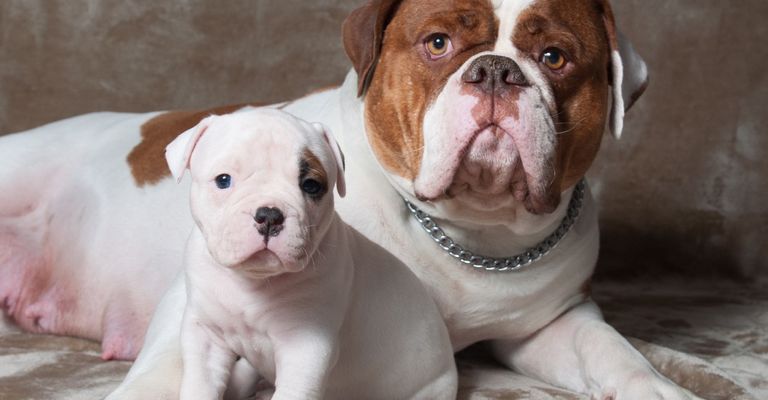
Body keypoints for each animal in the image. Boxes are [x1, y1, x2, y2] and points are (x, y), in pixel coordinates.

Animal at [165, 108, 452, 400]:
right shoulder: (205, 335)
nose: (269, 216)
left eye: (311, 185)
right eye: (223, 180)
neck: (253, 281)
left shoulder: (306, 344)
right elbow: (200, 383)